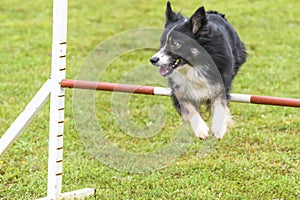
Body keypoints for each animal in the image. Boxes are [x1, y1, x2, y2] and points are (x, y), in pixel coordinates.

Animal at [150, 1, 246, 139]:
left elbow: (220, 104)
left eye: (176, 44)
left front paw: (218, 128)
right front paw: (201, 129)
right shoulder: (178, 89)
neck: (193, 66)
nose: (153, 60)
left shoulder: (220, 83)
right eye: (161, 42)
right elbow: (189, 108)